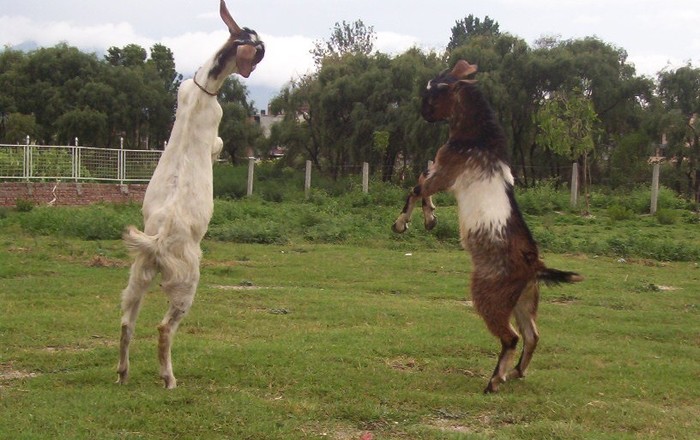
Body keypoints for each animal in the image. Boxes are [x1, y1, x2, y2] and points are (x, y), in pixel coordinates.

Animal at [117, 0, 265, 389]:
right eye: (258, 49)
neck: (203, 88)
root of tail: (157, 241)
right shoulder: (217, 123)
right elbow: (220, 143)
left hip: (138, 275)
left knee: (126, 322)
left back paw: (122, 373)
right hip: (186, 281)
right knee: (164, 328)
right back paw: (168, 378)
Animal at [392, 60, 583, 393]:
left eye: (433, 92)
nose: (424, 113)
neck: (478, 139)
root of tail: (535, 266)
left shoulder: (447, 172)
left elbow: (416, 187)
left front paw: (404, 222)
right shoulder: (440, 171)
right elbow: (420, 181)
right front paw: (430, 218)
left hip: (489, 297)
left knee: (511, 337)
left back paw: (494, 380)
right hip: (524, 300)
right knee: (532, 335)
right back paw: (517, 372)